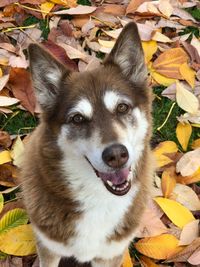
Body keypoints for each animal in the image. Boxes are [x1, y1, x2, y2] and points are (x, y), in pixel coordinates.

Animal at [20, 22, 153, 267]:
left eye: (122, 107)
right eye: (77, 119)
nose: (116, 155)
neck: (98, 198)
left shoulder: (109, 255)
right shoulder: (49, 248)